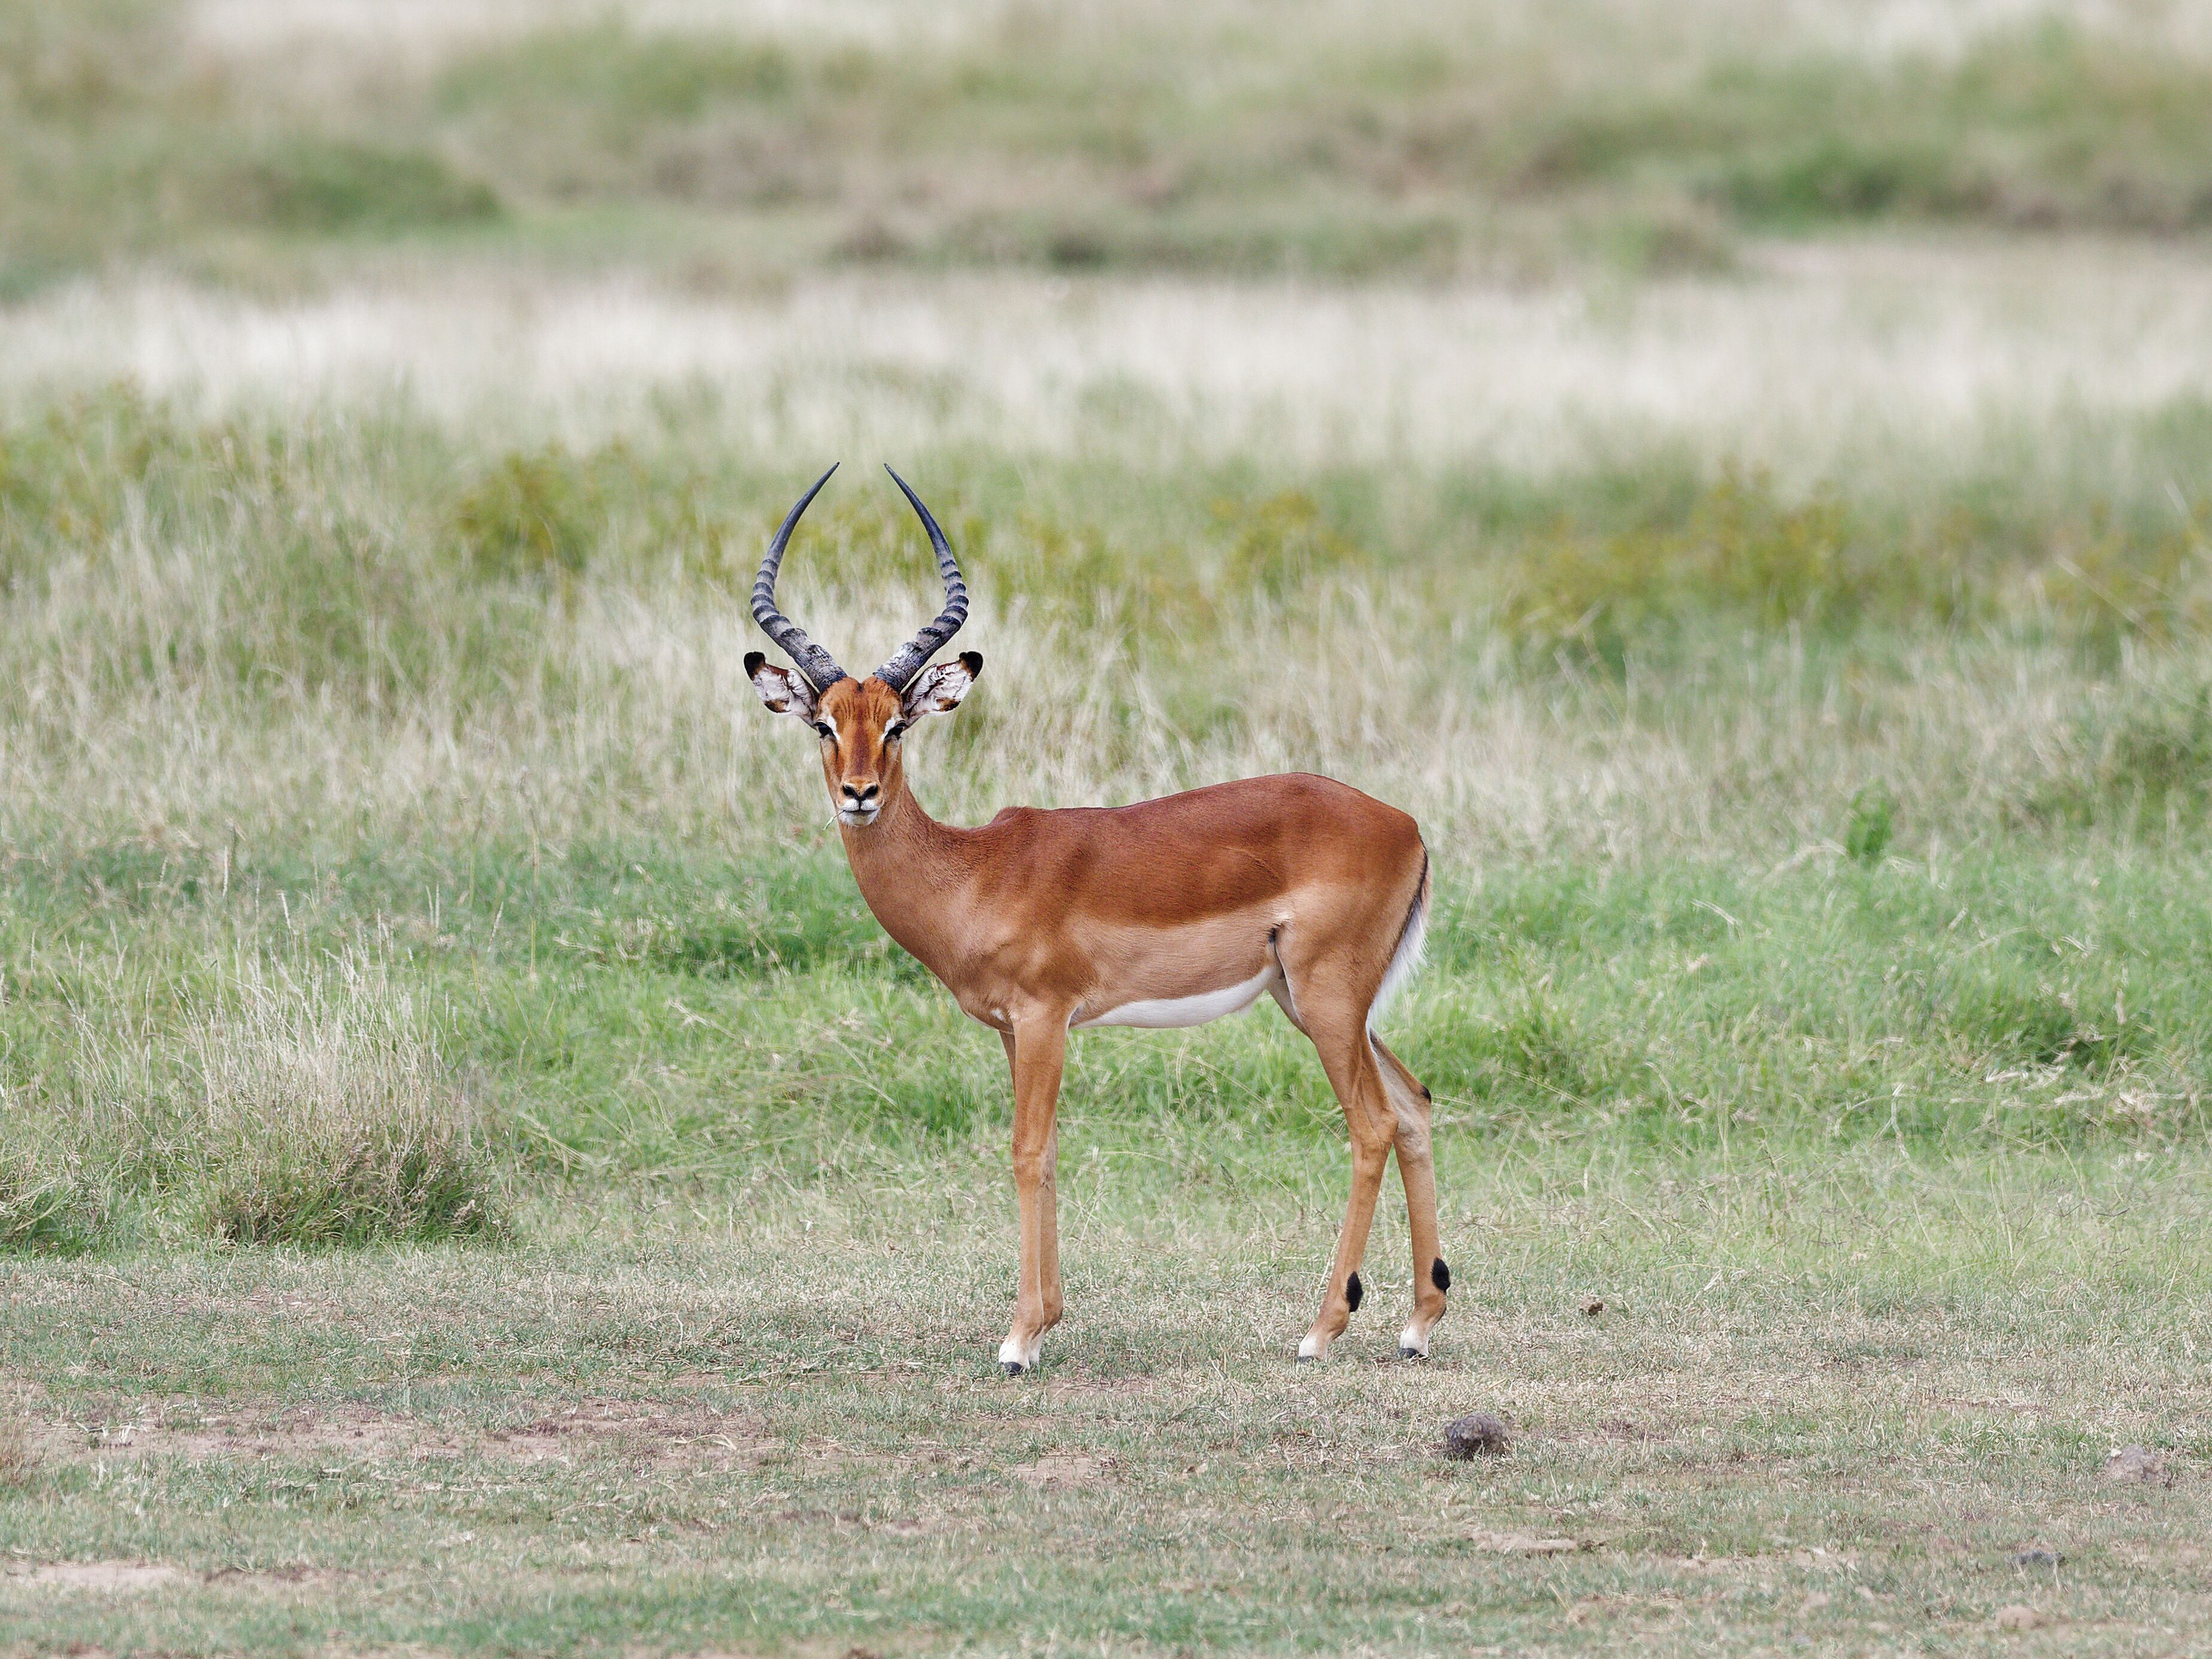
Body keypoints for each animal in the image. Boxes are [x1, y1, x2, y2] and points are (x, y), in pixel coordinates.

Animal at [744, 466, 1444, 1372]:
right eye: (825, 723)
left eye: (896, 723)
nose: (858, 794)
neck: (973, 870)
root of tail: (1407, 825)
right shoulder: (1013, 1029)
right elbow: (1041, 1154)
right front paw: (1042, 1321)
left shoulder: (1047, 1016)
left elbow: (1025, 1151)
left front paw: (1017, 1339)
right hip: (1315, 1002)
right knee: (1414, 1104)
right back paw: (1417, 1325)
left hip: (1326, 1000)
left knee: (1372, 1124)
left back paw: (1320, 1329)